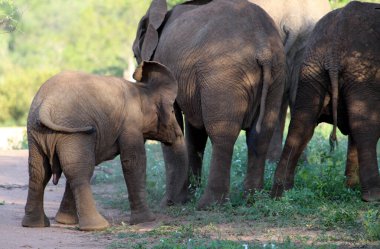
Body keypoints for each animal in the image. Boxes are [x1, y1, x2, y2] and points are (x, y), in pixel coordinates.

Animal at [21, 60, 186, 231]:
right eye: (172, 111)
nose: (170, 203)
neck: (141, 89)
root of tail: (46, 105)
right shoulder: (130, 123)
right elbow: (134, 161)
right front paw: (146, 220)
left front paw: (65, 222)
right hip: (72, 131)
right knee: (80, 171)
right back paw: (97, 226)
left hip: (36, 131)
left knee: (40, 171)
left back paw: (34, 225)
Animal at [134, 0, 284, 209]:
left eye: (135, 56)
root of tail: (264, 48)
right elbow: (195, 132)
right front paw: (187, 196)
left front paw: (169, 203)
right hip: (277, 75)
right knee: (261, 135)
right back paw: (252, 200)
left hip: (223, 75)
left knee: (222, 134)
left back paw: (209, 205)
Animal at [270, 0, 380, 201]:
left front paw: (350, 188)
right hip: (362, 73)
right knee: (365, 127)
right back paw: (373, 197)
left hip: (312, 66)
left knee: (301, 125)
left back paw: (279, 194)